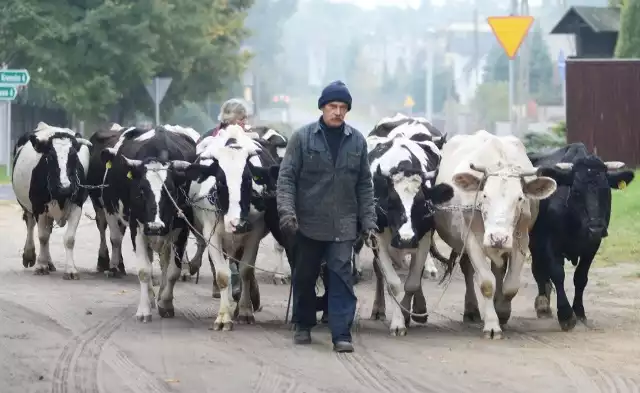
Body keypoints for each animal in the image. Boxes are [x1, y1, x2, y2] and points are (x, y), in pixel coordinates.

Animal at [12, 122, 94, 278]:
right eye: (49, 157)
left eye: (74, 157)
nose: (65, 187)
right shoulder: (38, 207)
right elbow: (42, 237)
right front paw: (41, 266)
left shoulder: (77, 205)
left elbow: (69, 239)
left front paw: (70, 269)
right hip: (27, 206)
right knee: (31, 225)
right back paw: (30, 256)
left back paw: (49, 262)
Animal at [100, 125, 198, 322]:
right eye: (141, 191)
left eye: (171, 191)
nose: (155, 226)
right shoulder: (137, 227)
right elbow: (144, 271)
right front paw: (144, 310)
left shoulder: (181, 229)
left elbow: (173, 271)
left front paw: (166, 303)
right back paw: (151, 298)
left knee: (164, 264)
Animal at [181, 124, 278, 330]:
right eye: (220, 180)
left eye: (248, 179)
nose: (237, 223)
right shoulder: (212, 234)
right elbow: (223, 275)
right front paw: (224, 317)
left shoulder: (253, 234)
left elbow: (246, 271)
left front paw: (246, 310)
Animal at [364, 135, 456, 334]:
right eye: (391, 203)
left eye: (421, 204)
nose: (406, 239)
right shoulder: (378, 240)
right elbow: (393, 283)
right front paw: (398, 323)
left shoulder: (424, 239)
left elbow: (412, 283)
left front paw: (407, 314)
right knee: (379, 271)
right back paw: (378, 308)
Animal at [524, 142, 636, 330]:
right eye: (576, 191)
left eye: (606, 190)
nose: (596, 228)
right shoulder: (548, 242)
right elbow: (557, 274)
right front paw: (566, 315)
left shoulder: (592, 245)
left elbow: (581, 277)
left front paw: (580, 312)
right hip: (533, 241)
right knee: (538, 269)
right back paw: (543, 305)